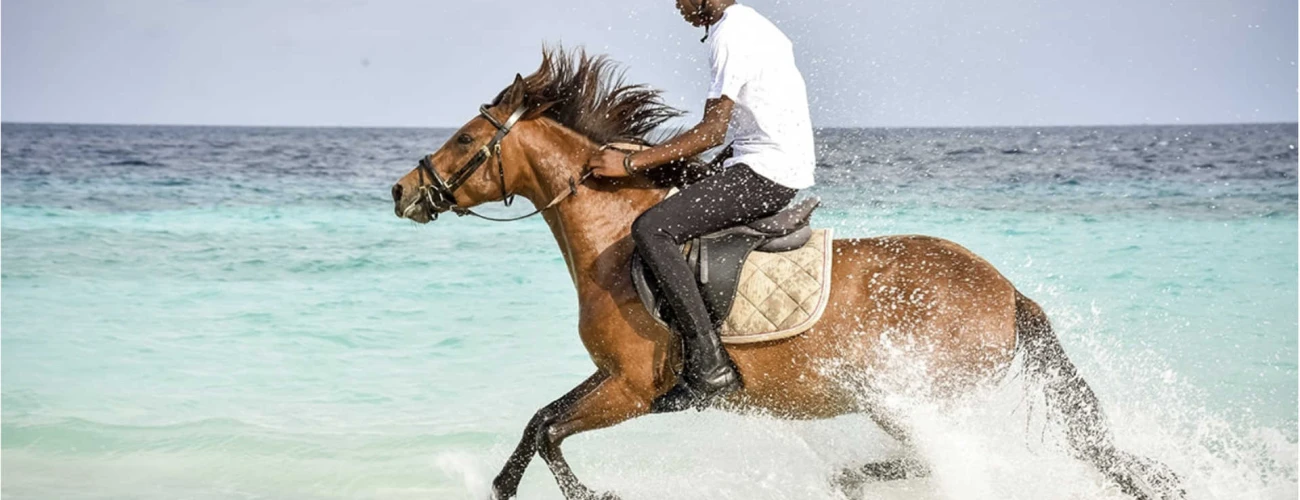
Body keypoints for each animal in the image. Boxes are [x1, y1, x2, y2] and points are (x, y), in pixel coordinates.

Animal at [387, 47, 1180, 498]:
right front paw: (500, 483)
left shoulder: (633, 389)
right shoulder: (613, 377)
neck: (614, 238)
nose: (402, 190)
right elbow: (538, 421)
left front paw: (588, 495)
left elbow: (552, 431)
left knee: (944, 459)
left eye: (466, 138)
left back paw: (846, 479)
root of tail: (1010, 293)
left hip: (905, 395)